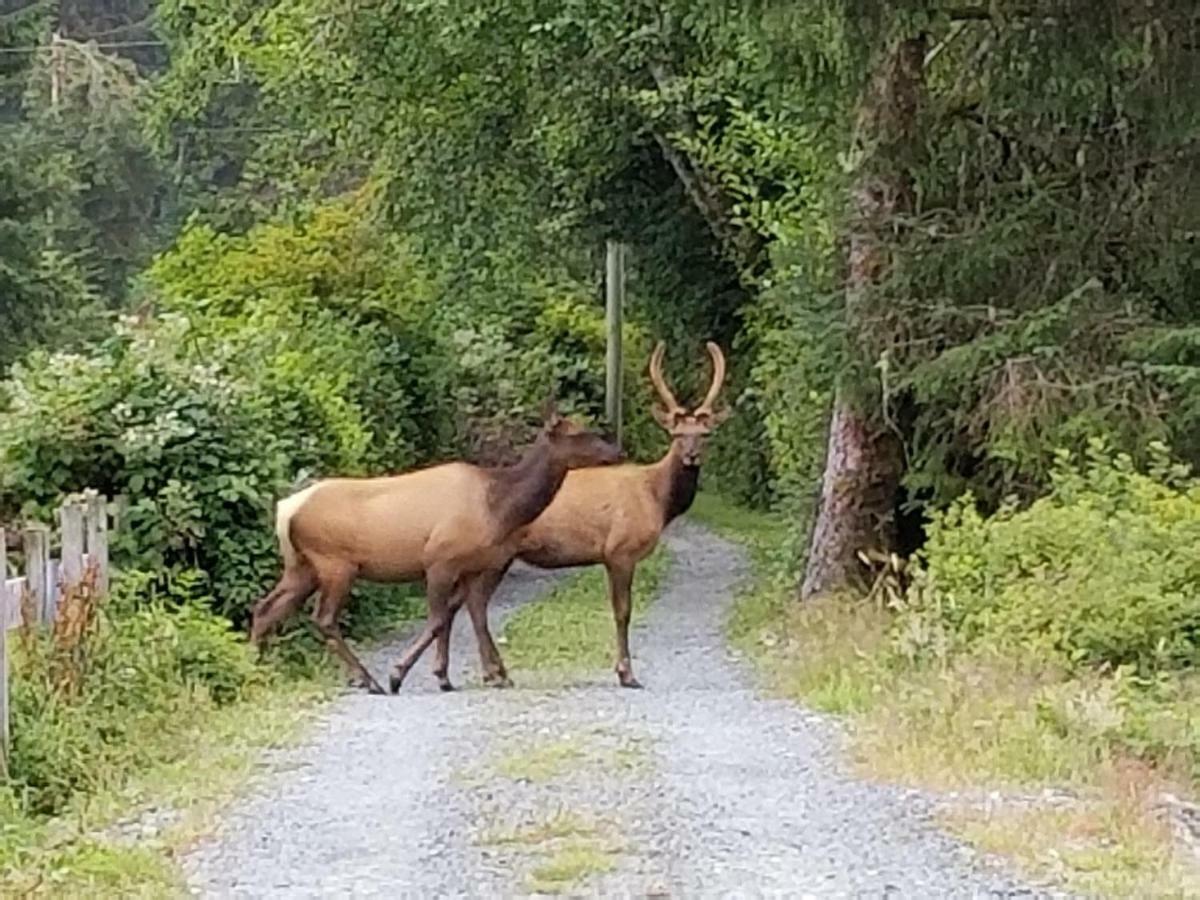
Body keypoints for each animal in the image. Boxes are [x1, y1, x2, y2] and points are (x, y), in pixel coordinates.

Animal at [244, 405, 619, 696]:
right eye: (579, 433)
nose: (616, 451)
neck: (500, 507)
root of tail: (286, 509)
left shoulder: (474, 566)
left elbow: (473, 615)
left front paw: (484, 674)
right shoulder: (439, 559)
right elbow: (440, 619)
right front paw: (403, 674)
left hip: (302, 566)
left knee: (266, 608)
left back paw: (256, 671)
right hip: (336, 563)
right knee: (323, 618)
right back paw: (368, 680)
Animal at [434, 343, 724, 691]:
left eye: (705, 433)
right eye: (675, 433)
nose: (691, 456)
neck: (656, 499)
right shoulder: (620, 550)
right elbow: (623, 611)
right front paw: (626, 673)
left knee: (463, 602)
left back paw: (478, 672)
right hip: (495, 555)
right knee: (474, 602)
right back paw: (492, 673)